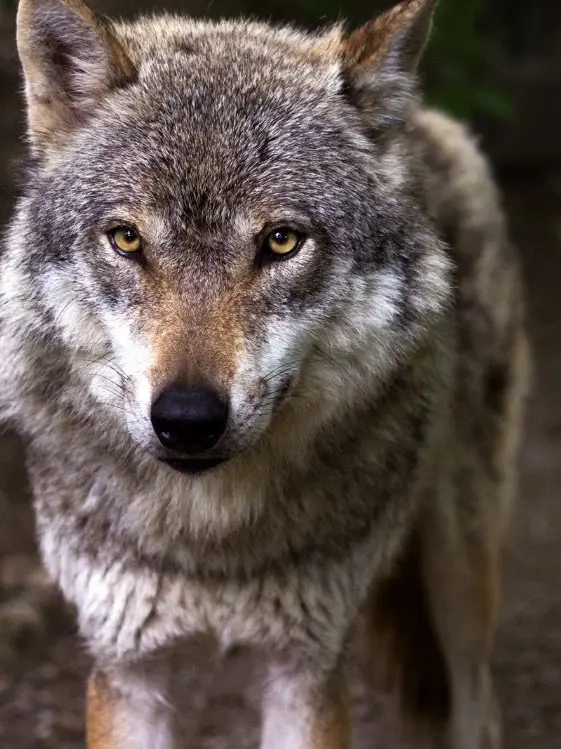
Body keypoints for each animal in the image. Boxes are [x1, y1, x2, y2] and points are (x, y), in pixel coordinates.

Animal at [0, 0, 529, 746]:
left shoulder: (305, 667)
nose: (187, 419)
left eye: (281, 241)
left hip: (460, 582)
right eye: (127, 239)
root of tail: (424, 120)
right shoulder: (127, 668)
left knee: (477, 704)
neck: (209, 539)